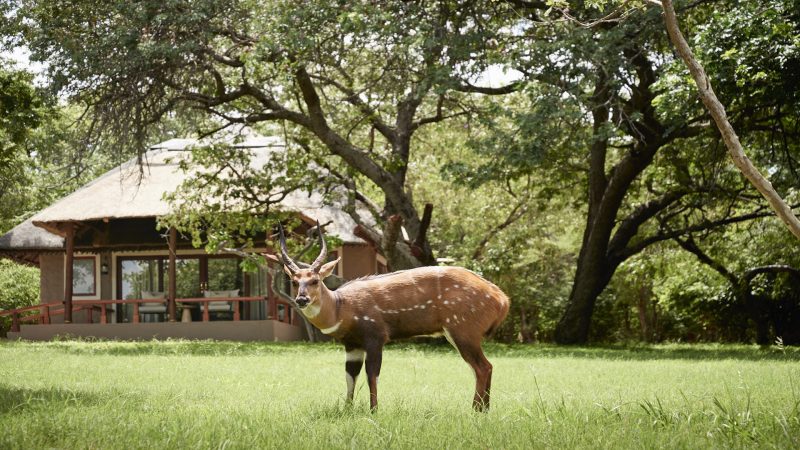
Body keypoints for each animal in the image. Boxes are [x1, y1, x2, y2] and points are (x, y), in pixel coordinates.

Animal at [266, 223, 510, 410]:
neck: (341, 309)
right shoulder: (352, 345)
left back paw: (475, 411)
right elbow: (350, 376)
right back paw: (483, 410)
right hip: (459, 333)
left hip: (463, 331)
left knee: (482, 367)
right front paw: (347, 409)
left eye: (315, 280)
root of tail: (502, 299)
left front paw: (374, 411)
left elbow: (372, 374)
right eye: (294, 281)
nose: (302, 299)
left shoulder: (375, 337)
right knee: (484, 367)